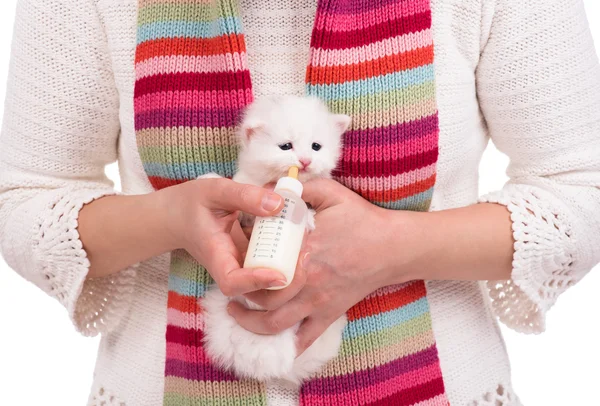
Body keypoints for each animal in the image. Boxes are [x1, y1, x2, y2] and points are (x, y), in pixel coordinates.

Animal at [202, 95, 352, 384]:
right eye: (286, 146)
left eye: (316, 146)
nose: (304, 161)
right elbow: (240, 197)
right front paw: (209, 179)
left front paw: (308, 219)